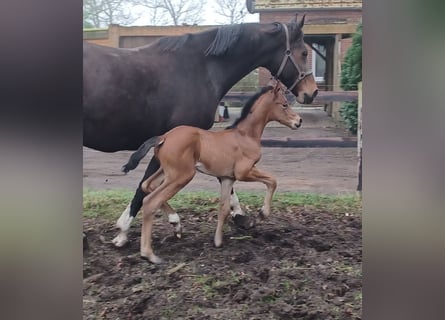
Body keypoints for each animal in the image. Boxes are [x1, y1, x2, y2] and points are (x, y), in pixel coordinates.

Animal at [123, 83, 300, 264]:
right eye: (284, 104)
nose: (298, 121)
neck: (245, 135)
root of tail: (163, 137)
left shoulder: (228, 178)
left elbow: (224, 207)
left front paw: (218, 241)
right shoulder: (244, 172)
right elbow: (272, 180)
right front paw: (261, 214)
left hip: (166, 172)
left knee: (147, 185)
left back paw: (175, 225)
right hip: (182, 175)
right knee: (151, 201)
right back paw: (149, 254)